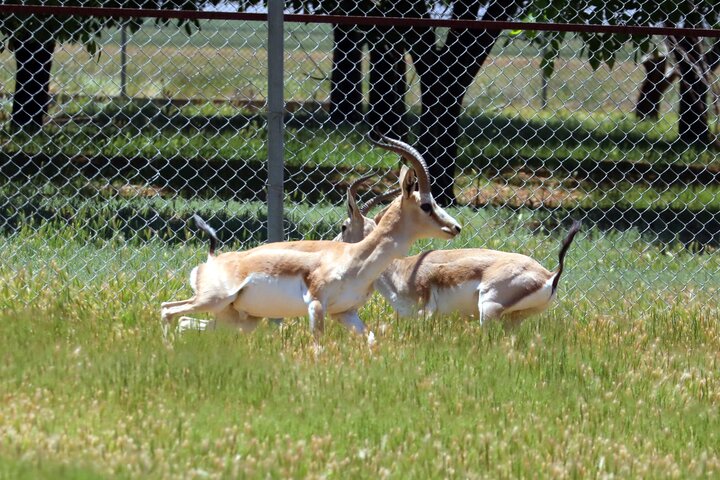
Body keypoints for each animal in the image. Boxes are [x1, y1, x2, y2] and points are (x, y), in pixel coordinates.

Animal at [160, 135, 462, 344]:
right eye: (426, 205)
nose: (455, 227)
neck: (354, 258)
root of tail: (211, 260)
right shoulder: (316, 305)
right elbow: (318, 347)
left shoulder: (346, 313)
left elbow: (372, 341)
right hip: (211, 300)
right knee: (167, 310)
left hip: (238, 319)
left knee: (184, 320)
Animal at [336, 168, 580, 326]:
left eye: (344, 225)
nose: (335, 245)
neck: (401, 269)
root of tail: (550, 275)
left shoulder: (425, 316)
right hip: (513, 320)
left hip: (488, 313)